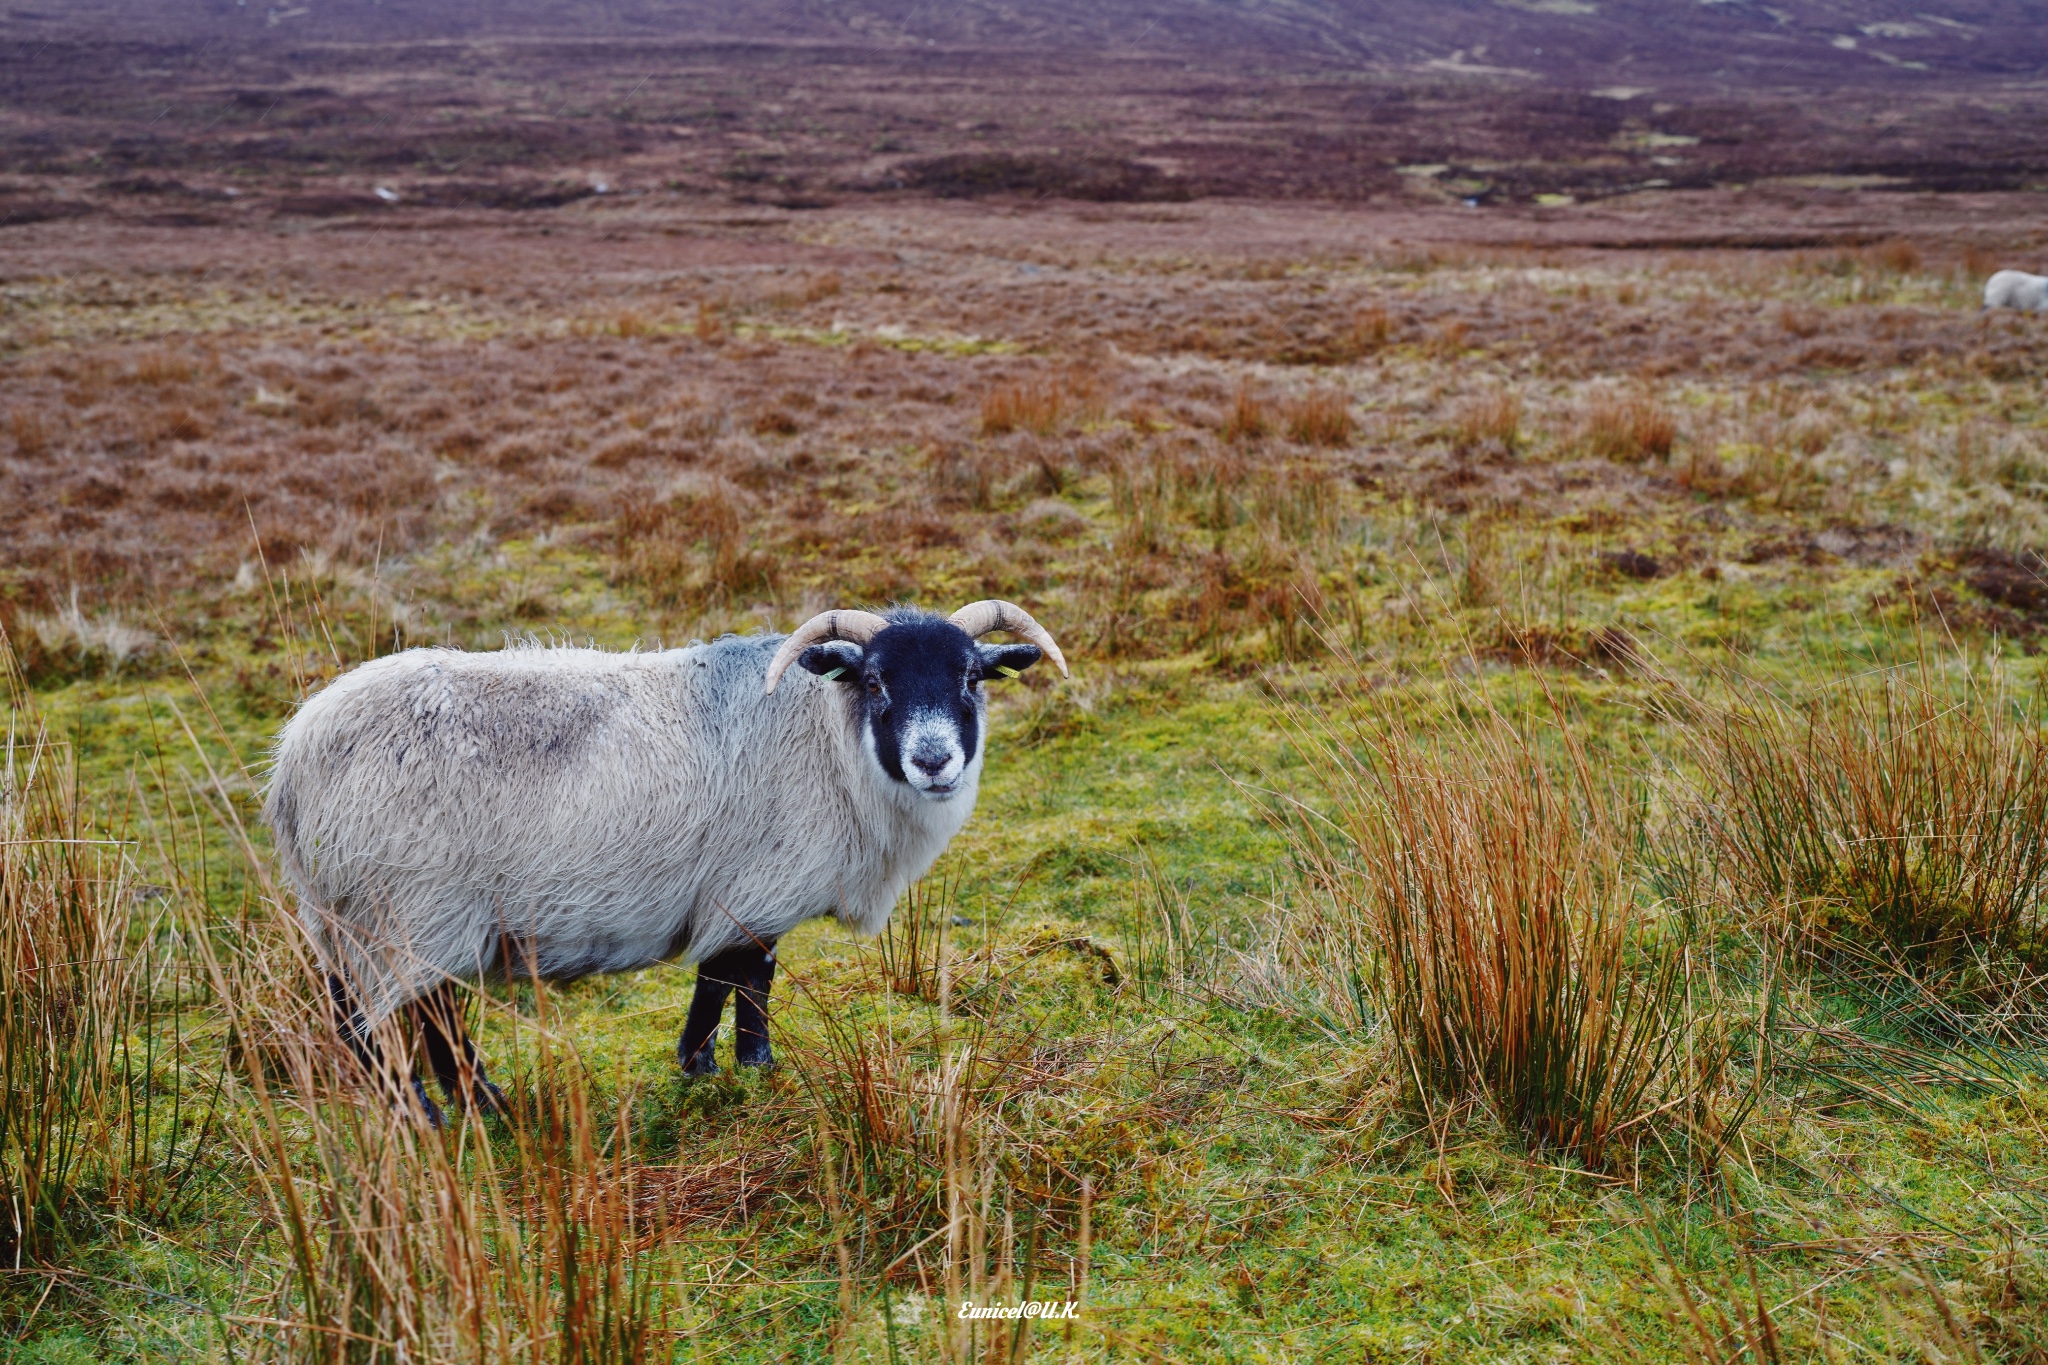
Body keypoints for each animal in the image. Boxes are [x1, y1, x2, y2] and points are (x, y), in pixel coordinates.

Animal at [266, 597, 1073, 1121]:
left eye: (971, 677)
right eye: (876, 681)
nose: (934, 761)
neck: (826, 738)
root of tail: (293, 766)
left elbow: (734, 981)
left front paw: (716, 1067)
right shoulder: (751, 890)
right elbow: (738, 979)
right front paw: (734, 1069)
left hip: (370, 917)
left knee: (418, 1015)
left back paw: (482, 1104)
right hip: (407, 909)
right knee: (383, 1025)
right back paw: (428, 1116)